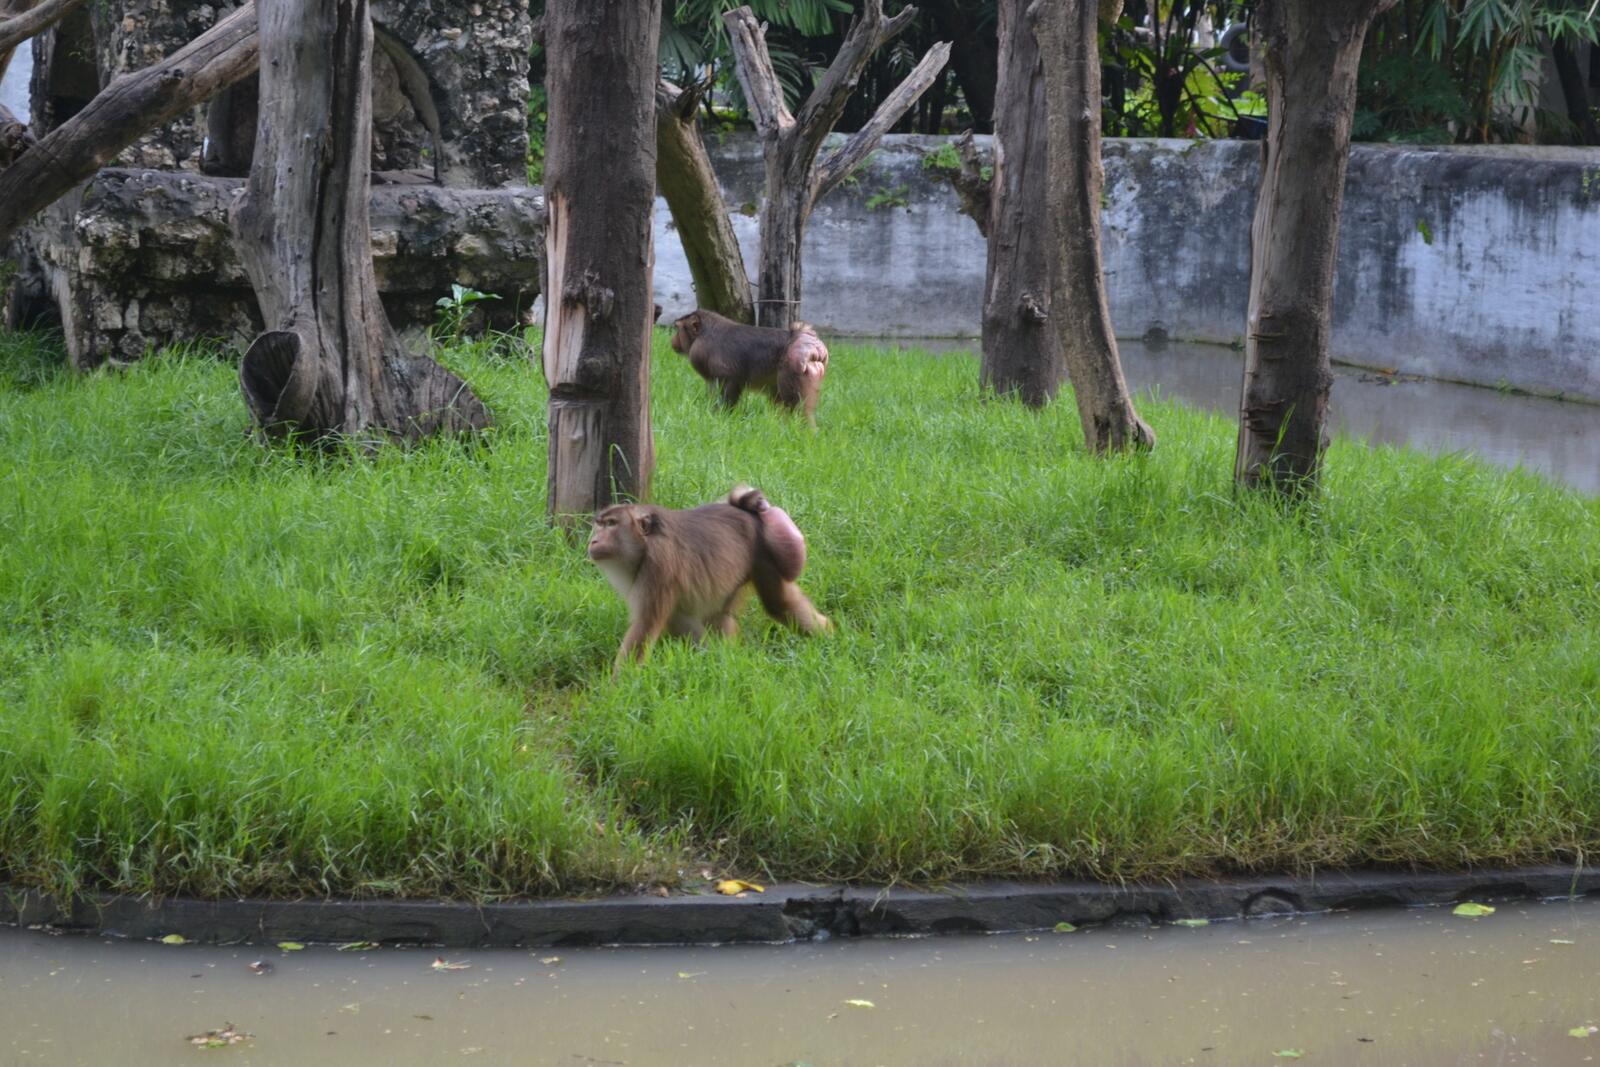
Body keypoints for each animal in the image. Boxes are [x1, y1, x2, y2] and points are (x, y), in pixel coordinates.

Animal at [592, 489, 838, 671]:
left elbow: (645, 625)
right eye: (599, 523)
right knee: (721, 614)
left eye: (611, 524)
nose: (593, 540)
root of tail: (747, 513)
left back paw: (828, 637)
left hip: (764, 555)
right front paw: (713, 660)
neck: (644, 546)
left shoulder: (660, 566)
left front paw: (617, 690)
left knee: (779, 604)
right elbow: (679, 618)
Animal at [668, 308, 832, 425]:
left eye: (677, 329)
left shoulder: (702, 351)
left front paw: (722, 415)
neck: (703, 333)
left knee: (793, 402)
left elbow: (730, 385)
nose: (673, 340)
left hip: (793, 365)